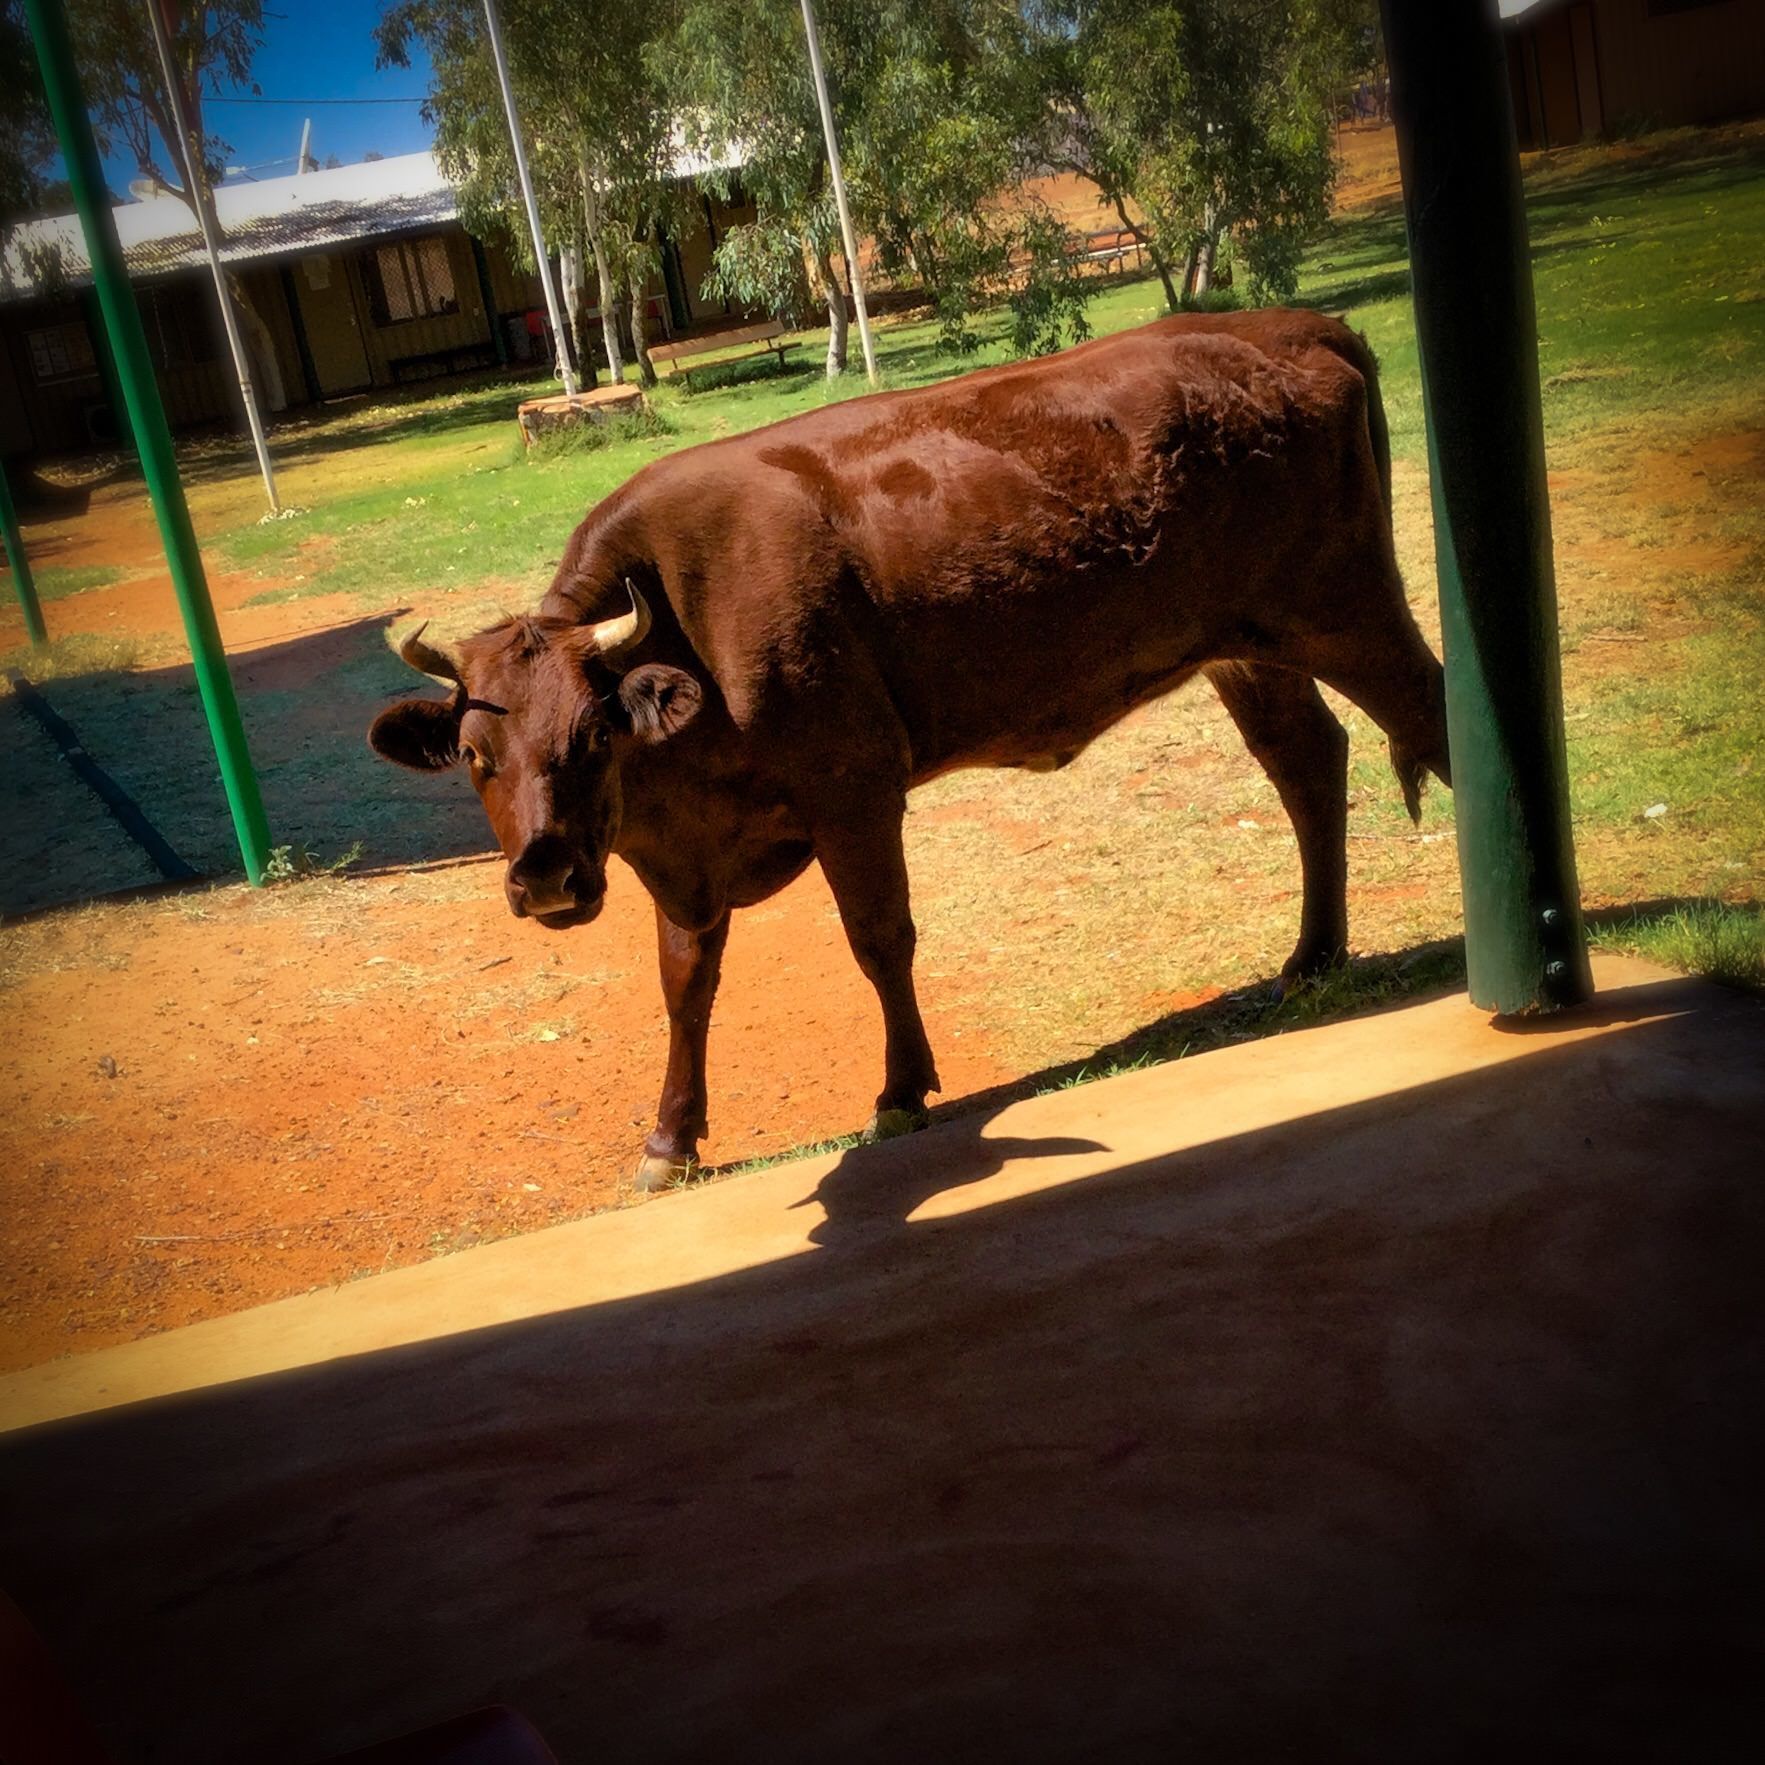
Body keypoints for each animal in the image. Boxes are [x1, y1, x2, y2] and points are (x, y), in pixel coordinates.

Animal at [369, 310, 1450, 1189]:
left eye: (593, 734)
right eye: (475, 755)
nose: (546, 876)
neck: (684, 611)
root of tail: (1292, 326)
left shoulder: (850, 785)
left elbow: (878, 937)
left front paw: (900, 1090)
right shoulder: (674, 850)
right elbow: (683, 981)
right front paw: (670, 1139)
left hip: (1345, 609)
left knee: (1433, 715)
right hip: (1247, 646)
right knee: (1306, 764)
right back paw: (1311, 957)